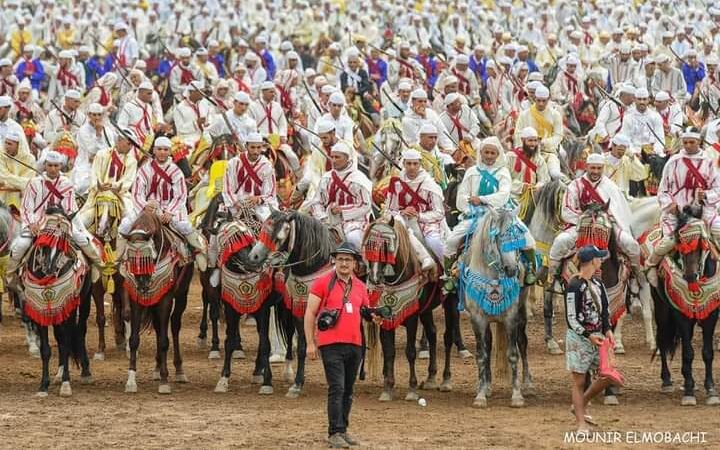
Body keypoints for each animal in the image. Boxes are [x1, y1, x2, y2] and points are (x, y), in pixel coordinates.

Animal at [122, 211, 194, 394]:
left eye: (148, 258)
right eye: (131, 259)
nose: (143, 285)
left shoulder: (165, 300)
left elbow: (163, 341)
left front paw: (164, 381)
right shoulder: (136, 300)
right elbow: (134, 340)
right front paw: (131, 381)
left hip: (181, 295)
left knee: (174, 326)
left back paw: (179, 371)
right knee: (156, 327)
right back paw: (156, 367)